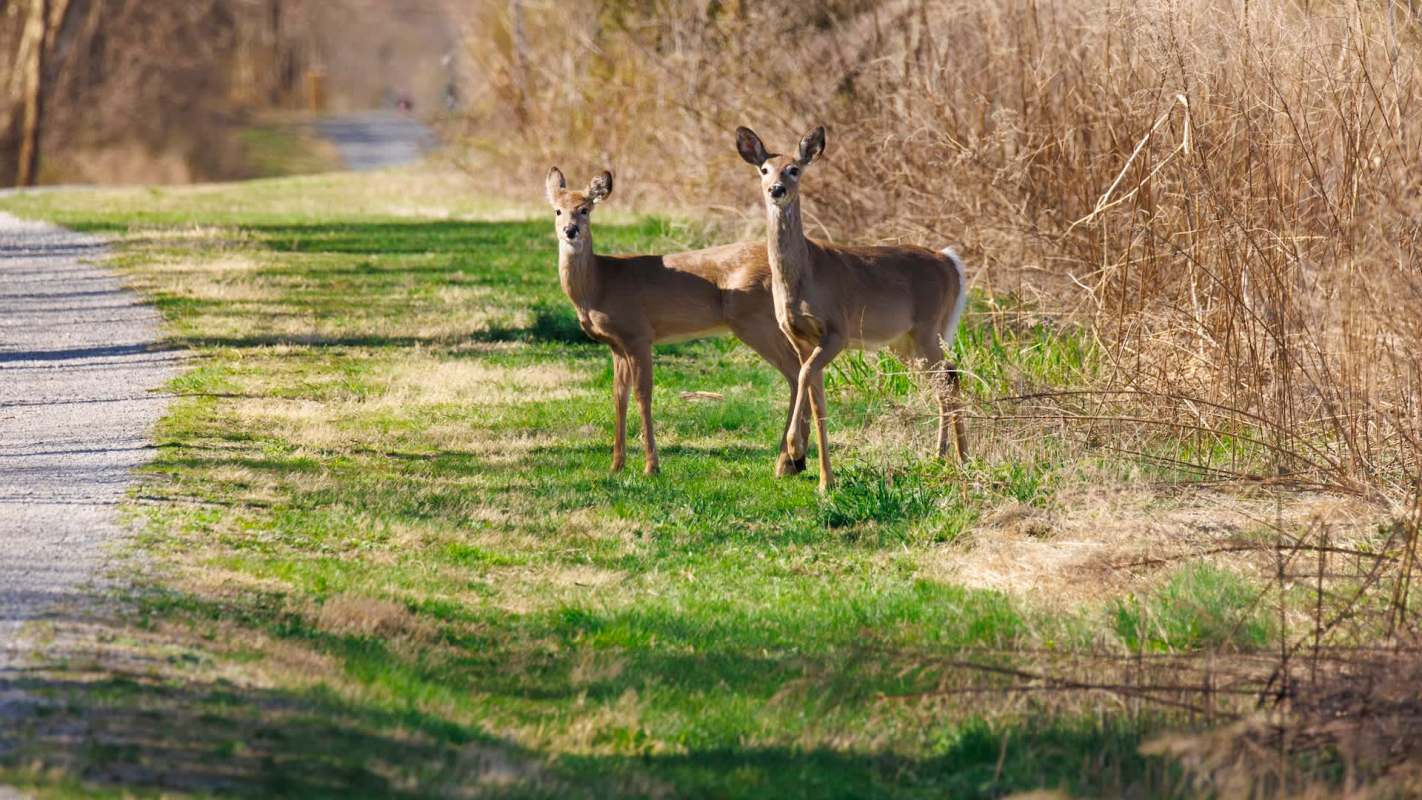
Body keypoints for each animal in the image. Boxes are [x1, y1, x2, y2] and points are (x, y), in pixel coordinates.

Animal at [544, 166, 810, 476]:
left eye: (584, 209)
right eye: (557, 210)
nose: (570, 230)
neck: (600, 283)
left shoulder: (638, 333)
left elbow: (642, 394)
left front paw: (651, 466)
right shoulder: (616, 344)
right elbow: (618, 396)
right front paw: (616, 464)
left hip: (756, 321)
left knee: (796, 371)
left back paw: (787, 461)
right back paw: (796, 461)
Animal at [734, 126, 969, 493]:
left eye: (794, 169)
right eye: (764, 169)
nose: (776, 189)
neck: (804, 277)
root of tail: (949, 261)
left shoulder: (837, 330)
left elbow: (804, 376)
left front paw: (794, 450)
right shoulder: (799, 337)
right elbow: (816, 398)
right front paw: (824, 480)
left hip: (929, 328)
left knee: (950, 375)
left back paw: (963, 457)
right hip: (905, 342)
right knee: (945, 378)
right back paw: (942, 455)